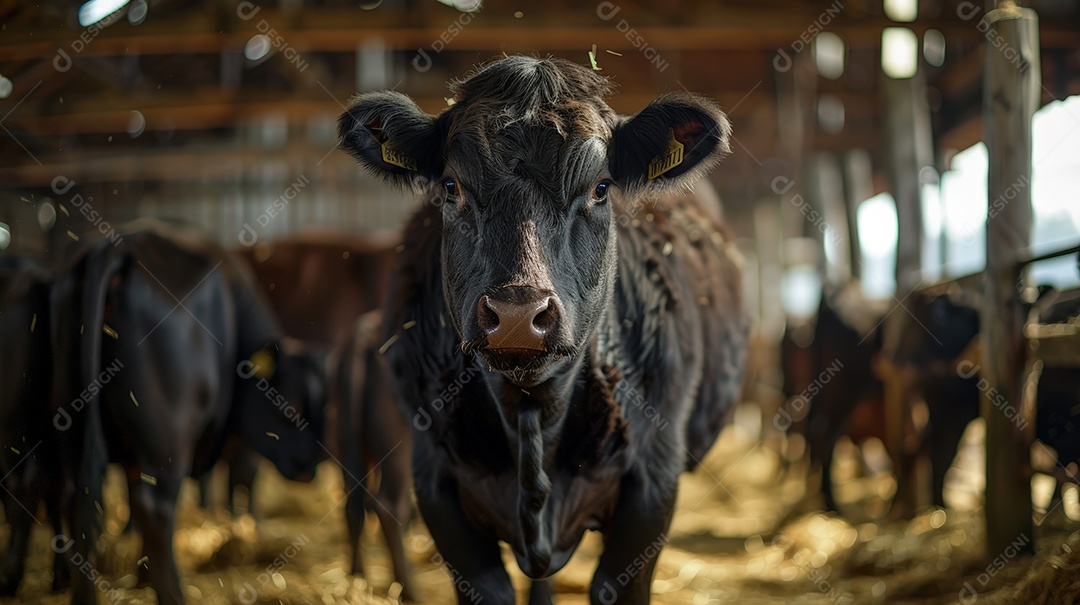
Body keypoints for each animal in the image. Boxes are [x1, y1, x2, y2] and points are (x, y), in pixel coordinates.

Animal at [49, 220, 326, 605]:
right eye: (291, 407)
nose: (310, 466)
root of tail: (121, 246)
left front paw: (141, 577)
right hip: (167, 444)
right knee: (155, 508)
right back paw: (174, 594)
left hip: (73, 427)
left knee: (79, 499)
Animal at [338, 55, 749, 604]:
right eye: (451, 186)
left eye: (600, 188)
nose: (517, 313)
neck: (533, 413)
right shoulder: (437, 485)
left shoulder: (654, 488)